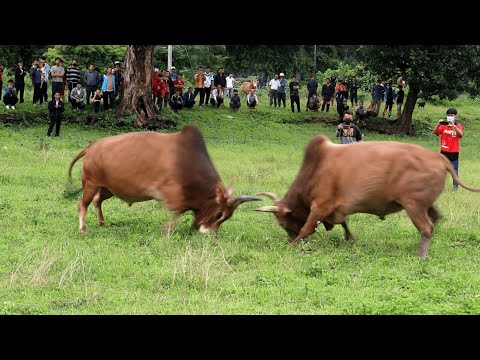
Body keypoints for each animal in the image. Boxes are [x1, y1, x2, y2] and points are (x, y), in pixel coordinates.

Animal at [68, 125, 258, 235]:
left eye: (228, 216)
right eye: (219, 214)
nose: (208, 234)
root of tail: (91, 147)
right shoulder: (174, 197)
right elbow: (176, 213)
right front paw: (166, 230)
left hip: (107, 188)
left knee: (97, 200)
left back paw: (102, 223)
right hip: (91, 184)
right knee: (82, 205)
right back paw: (83, 229)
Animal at [253, 135, 478, 258]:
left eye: (283, 224)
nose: (288, 237)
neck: (315, 170)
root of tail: (440, 158)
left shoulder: (320, 206)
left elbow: (307, 228)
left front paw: (291, 245)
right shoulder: (336, 209)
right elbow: (344, 223)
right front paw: (350, 238)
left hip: (413, 205)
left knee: (427, 227)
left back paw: (421, 255)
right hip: (424, 205)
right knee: (436, 219)